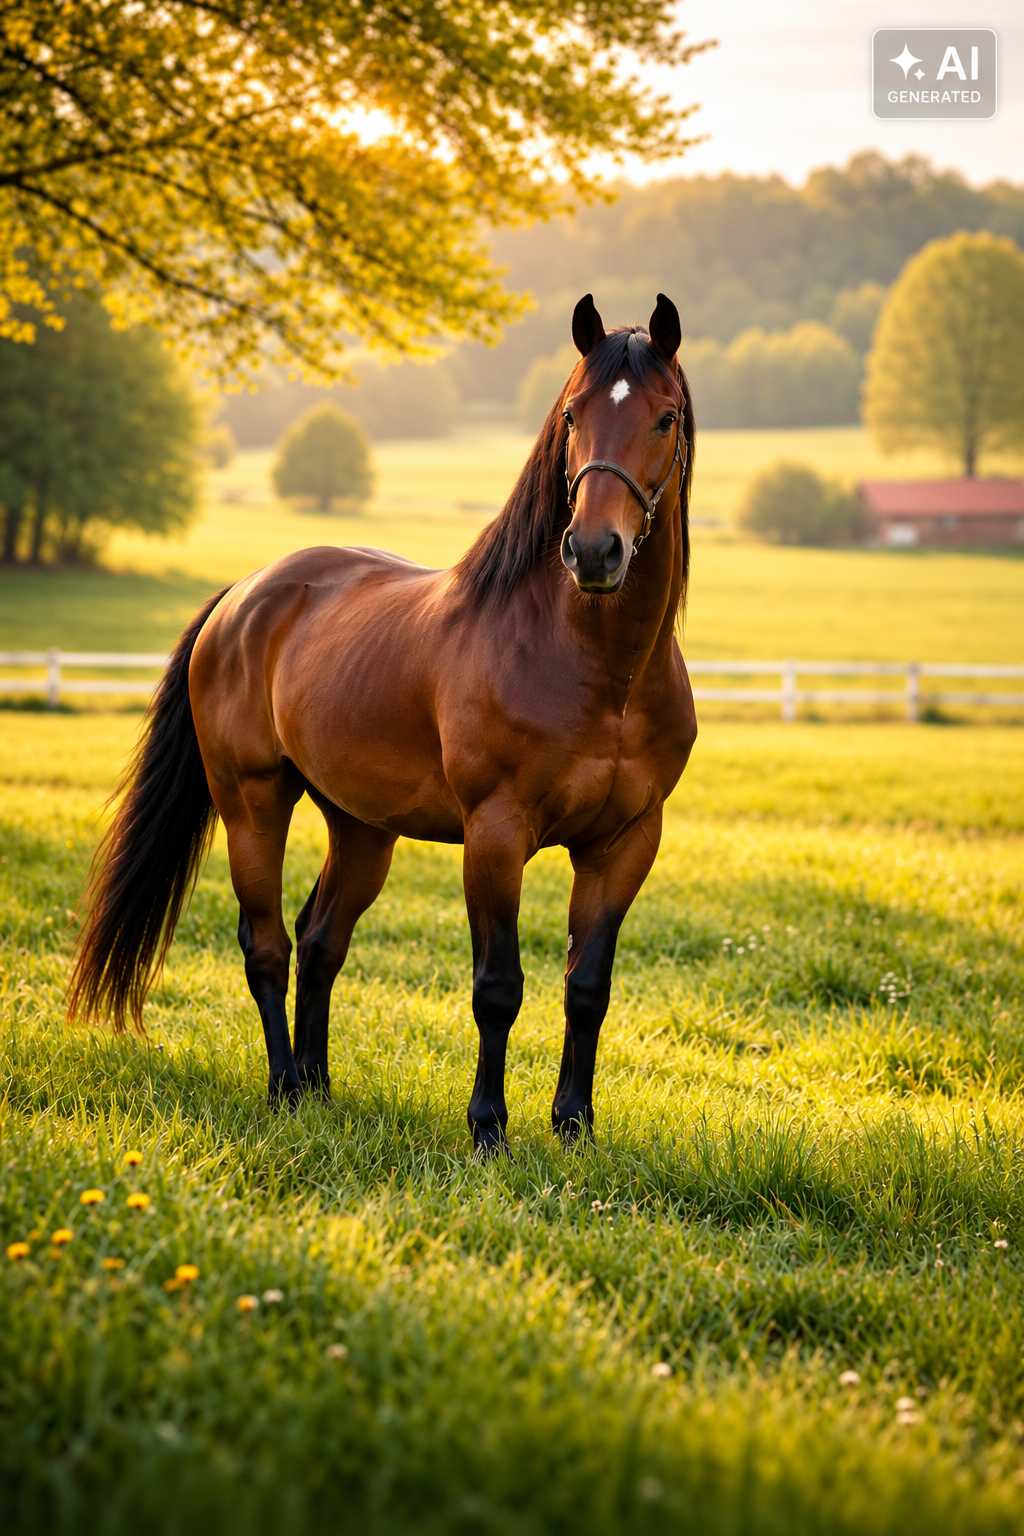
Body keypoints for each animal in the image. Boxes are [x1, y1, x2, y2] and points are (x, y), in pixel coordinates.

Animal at [68, 292, 698, 1153]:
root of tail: (245, 594)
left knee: (321, 939)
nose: (595, 550)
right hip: (252, 803)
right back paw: (283, 1088)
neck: (602, 670)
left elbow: (588, 987)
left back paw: (318, 1084)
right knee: (267, 945)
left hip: (362, 827)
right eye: (573, 414)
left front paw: (575, 1125)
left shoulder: (627, 842)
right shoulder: (496, 835)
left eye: (664, 418)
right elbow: (498, 987)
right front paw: (488, 1130)